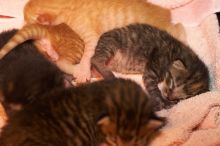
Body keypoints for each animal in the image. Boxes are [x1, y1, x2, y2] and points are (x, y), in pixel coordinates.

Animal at [21, 0, 186, 83]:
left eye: (27, 19)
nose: (23, 25)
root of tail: (165, 13)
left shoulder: (88, 32)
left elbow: (89, 52)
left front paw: (82, 71)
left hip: (165, 30)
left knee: (179, 28)